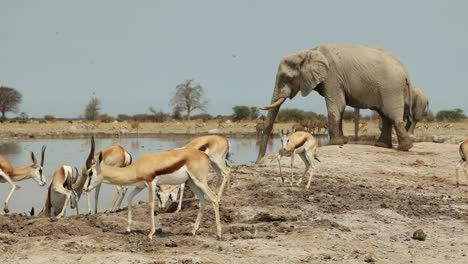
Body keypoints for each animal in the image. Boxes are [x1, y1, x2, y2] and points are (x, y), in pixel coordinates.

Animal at [82, 137, 221, 240]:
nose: (84, 189)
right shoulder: (140, 186)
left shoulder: (151, 183)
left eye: (90, 172)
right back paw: (192, 231)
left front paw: (150, 234)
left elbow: (150, 205)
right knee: (203, 200)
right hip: (192, 182)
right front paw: (128, 228)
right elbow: (129, 198)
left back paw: (218, 234)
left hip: (200, 181)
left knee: (213, 198)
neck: (136, 167)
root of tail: (205, 156)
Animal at [258, 44, 414, 162]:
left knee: (391, 114)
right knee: (385, 115)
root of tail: (406, 71)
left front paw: (335, 143)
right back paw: (382, 146)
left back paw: (404, 148)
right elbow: (340, 106)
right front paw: (343, 141)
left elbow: (336, 105)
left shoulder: (332, 76)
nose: (258, 161)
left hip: (391, 88)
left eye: (287, 78)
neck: (308, 52)